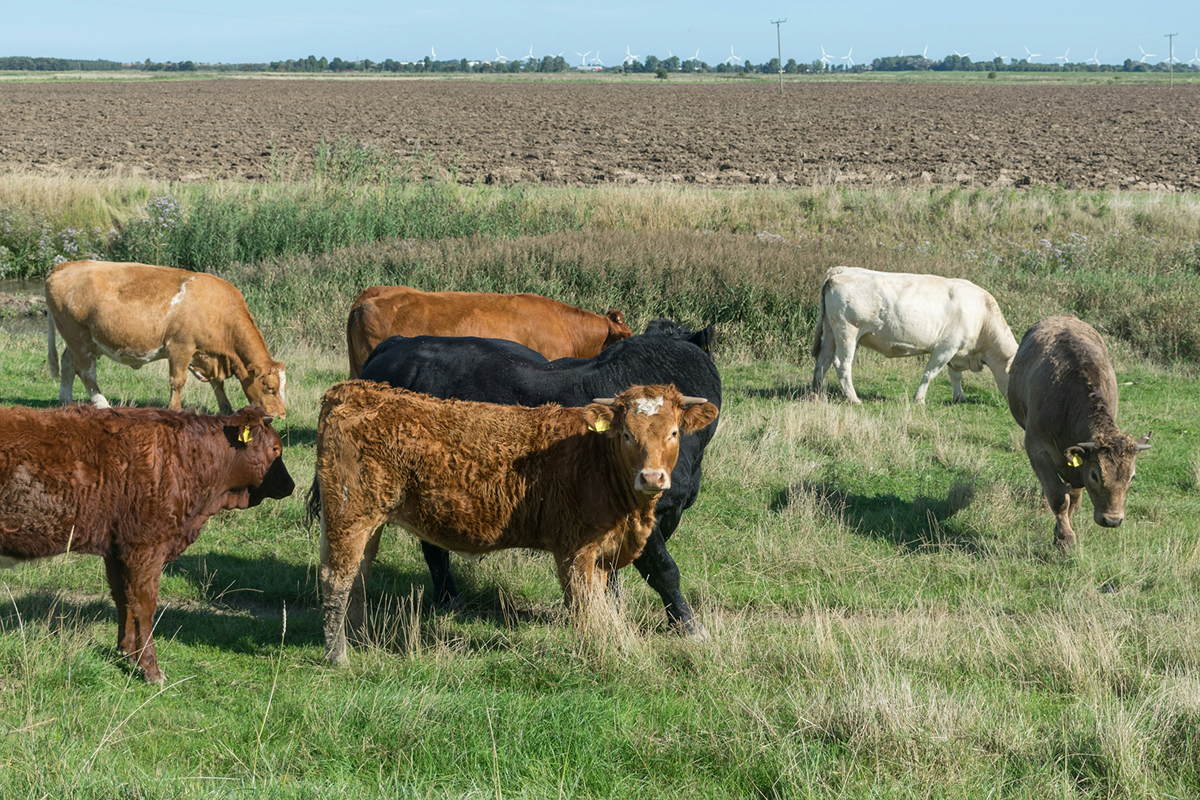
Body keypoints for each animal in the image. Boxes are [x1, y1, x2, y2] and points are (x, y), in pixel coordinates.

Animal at [0, 405, 294, 683]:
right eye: (275, 448)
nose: (290, 485)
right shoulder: (145, 546)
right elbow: (144, 605)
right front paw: (151, 668)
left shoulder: (116, 549)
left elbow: (123, 598)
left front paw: (128, 653)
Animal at [46, 260, 288, 418]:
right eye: (270, 388)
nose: (280, 414)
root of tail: (64, 266)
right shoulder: (181, 347)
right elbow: (177, 381)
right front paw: (176, 409)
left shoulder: (205, 353)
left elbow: (217, 383)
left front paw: (226, 407)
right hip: (79, 336)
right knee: (86, 372)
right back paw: (102, 404)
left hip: (81, 341)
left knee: (68, 363)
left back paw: (65, 400)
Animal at [308, 381, 718, 666]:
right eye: (628, 435)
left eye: (674, 433)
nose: (652, 477)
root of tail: (354, 390)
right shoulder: (575, 551)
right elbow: (584, 609)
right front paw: (593, 653)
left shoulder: (600, 556)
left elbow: (600, 606)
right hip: (350, 512)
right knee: (336, 576)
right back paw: (338, 654)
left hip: (369, 521)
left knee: (359, 575)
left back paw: (360, 640)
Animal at [811, 267, 1018, 405]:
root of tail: (841, 270)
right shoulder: (946, 348)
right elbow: (930, 374)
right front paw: (919, 399)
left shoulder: (957, 351)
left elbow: (955, 376)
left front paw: (959, 397)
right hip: (847, 330)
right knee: (842, 363)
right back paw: (853, 399)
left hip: (830, 331)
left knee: (822, 361)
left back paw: (816, 394)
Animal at [1006, 316, 1151, 549]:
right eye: (1095, 475)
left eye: (1132, 477)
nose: (1112, 520)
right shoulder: (1037, 449)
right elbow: (1058, 496)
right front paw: (1065, 538)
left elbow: (1072, 496)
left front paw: (1063, 529)